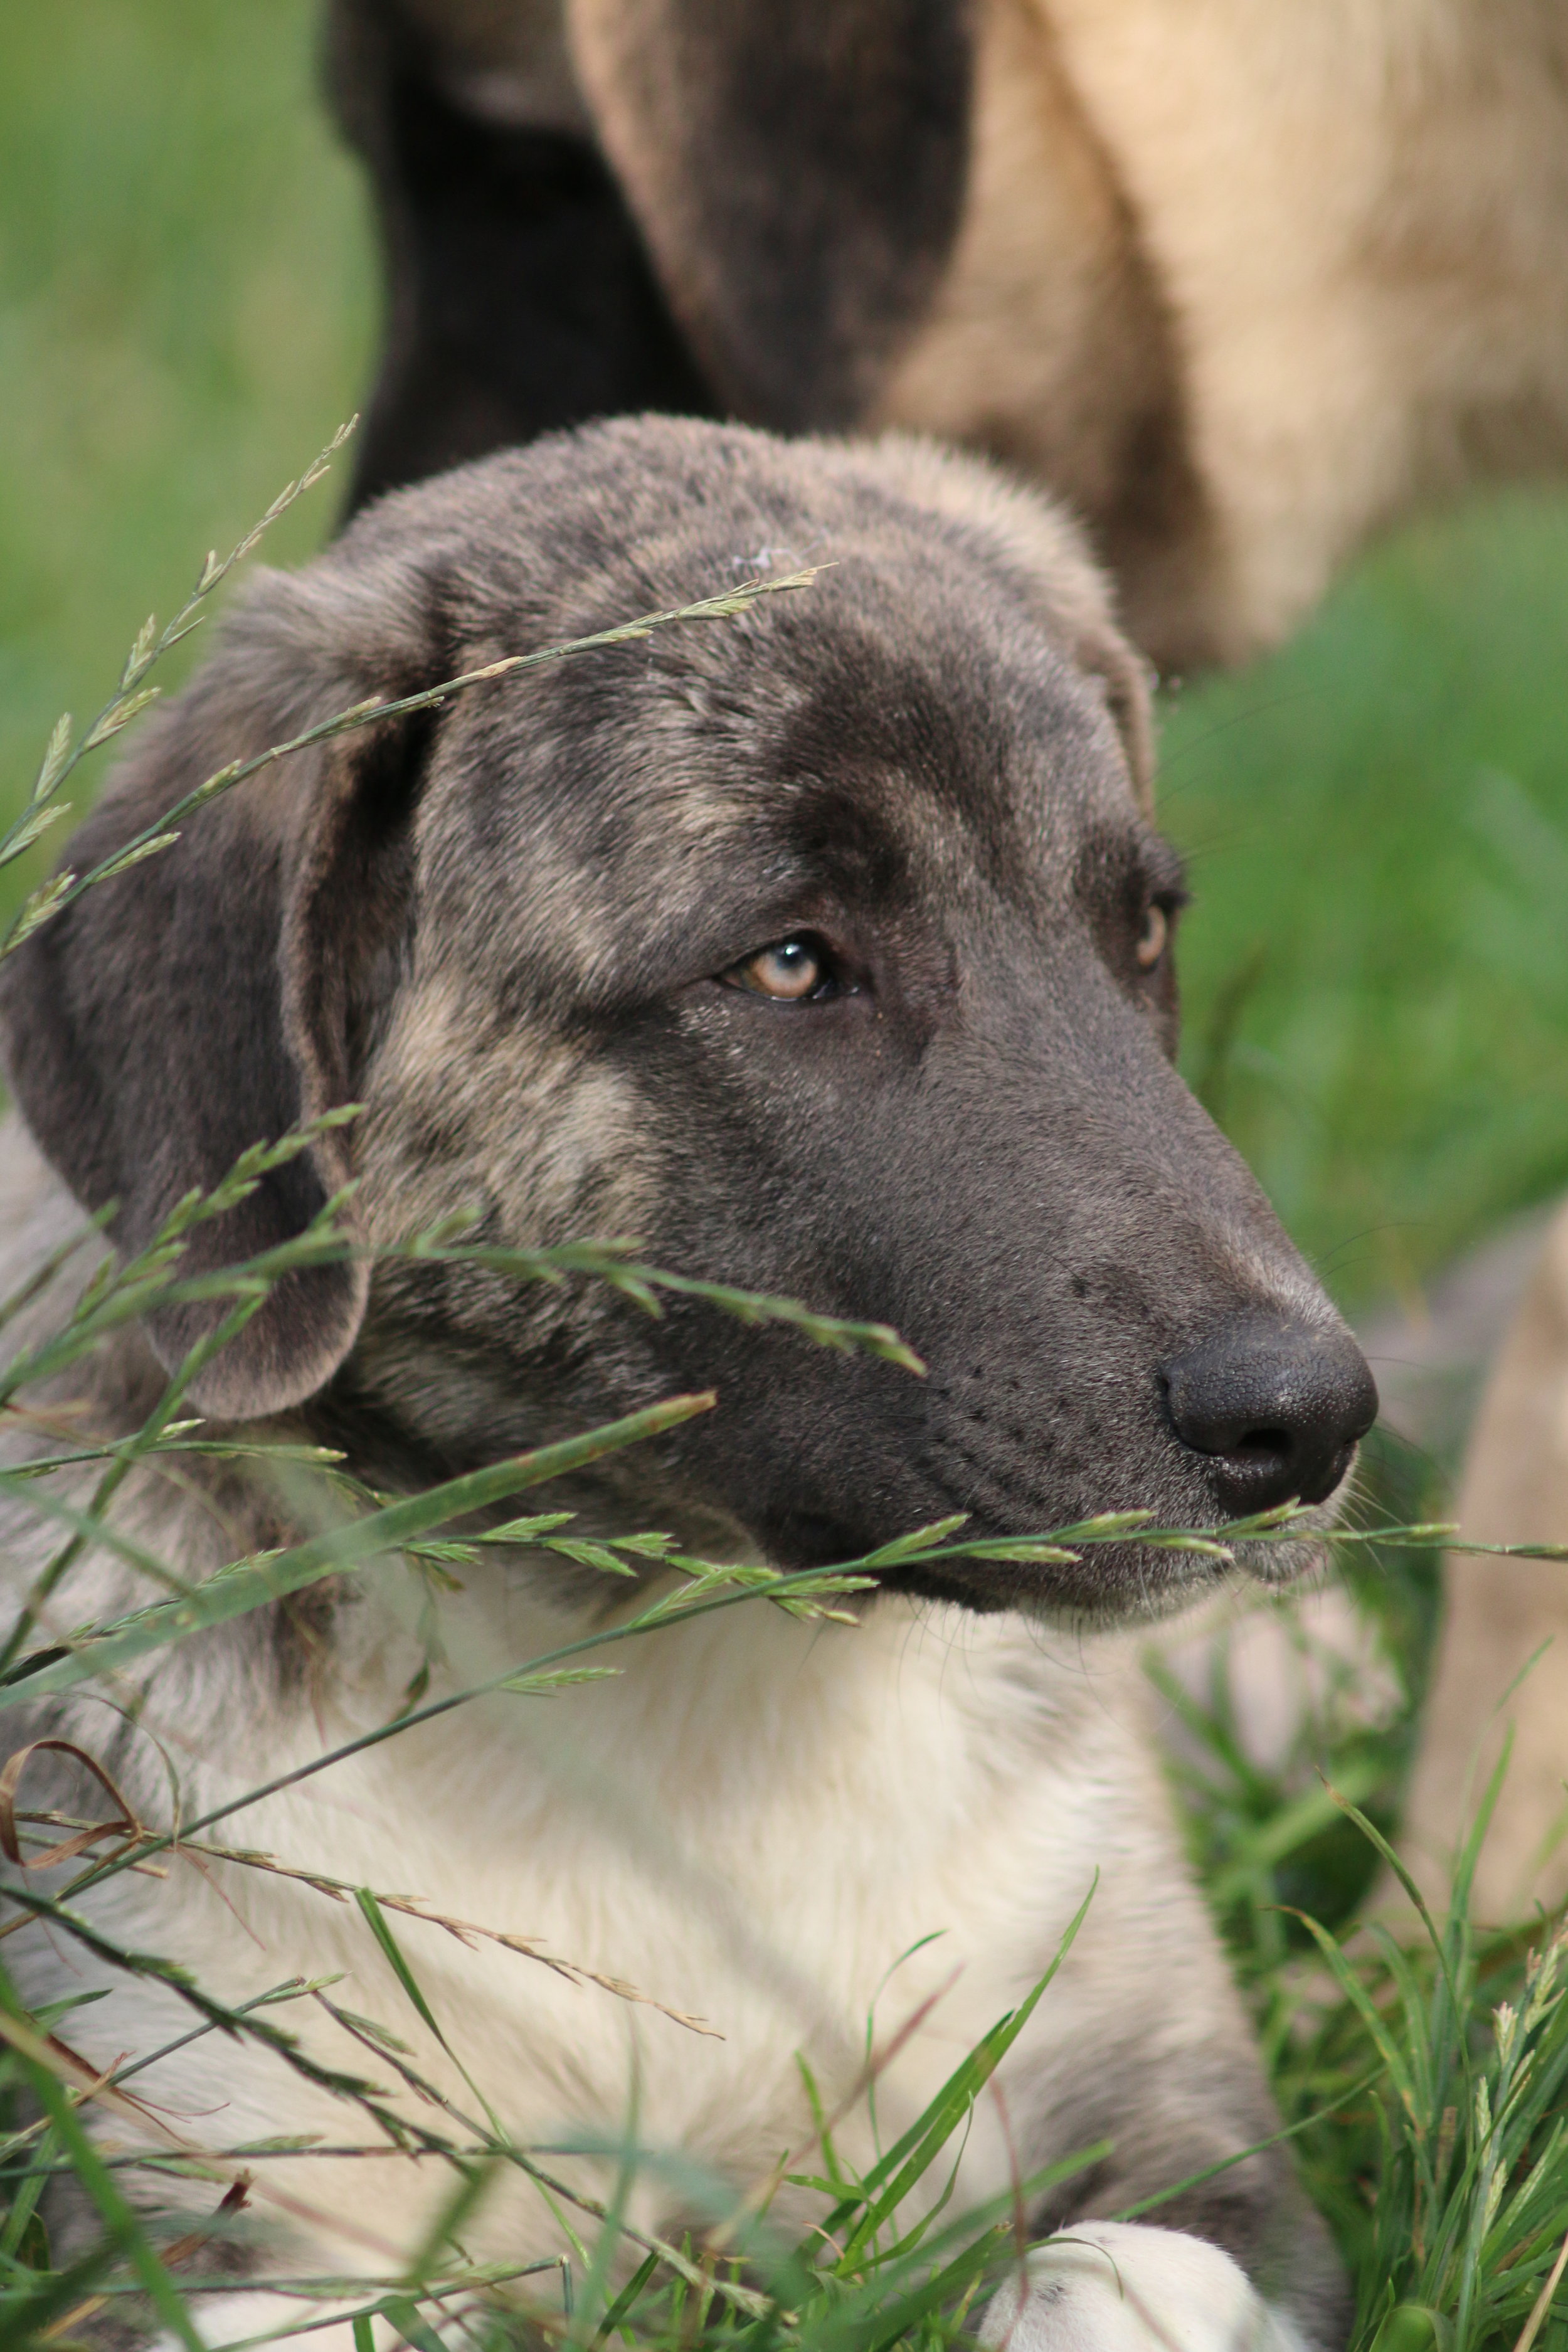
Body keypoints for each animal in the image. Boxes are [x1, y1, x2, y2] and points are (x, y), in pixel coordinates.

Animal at [0, 419, 1376, 2348]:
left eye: (1141, 936)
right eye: (788, 960)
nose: (1310, 1422)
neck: (681, 1680)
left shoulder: (1178, 2123)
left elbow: (1115, 2275)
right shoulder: (222, 2202)